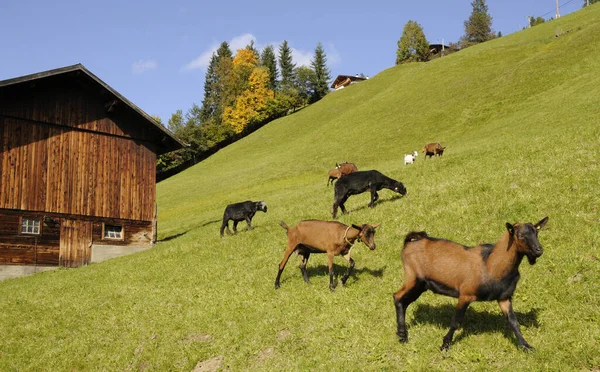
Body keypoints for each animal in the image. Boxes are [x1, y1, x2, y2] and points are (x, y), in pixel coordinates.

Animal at [394, 217, 548, 350]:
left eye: (536, 232)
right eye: (521, 235)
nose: (539, 250)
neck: (491, 264)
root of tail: (410, 243)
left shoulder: (504, 297)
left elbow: (513, 322)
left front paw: (526, 346)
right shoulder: (465, 294)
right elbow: (456, 321)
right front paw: (445, 345)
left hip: (421, 285)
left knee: (404, 301)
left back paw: (402, 334)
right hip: (413, 277)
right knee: (397, 296)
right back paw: (402, 336)